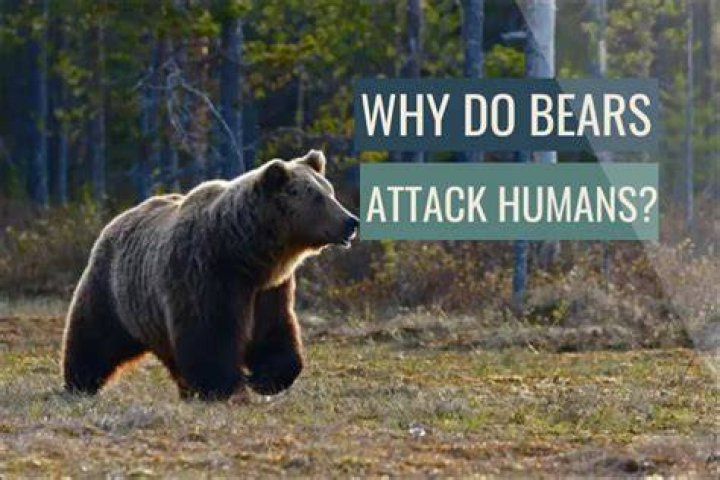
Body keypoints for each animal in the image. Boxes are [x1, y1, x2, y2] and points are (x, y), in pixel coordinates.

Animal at [61, 150, 359, 400]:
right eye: (317, 197)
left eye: (330, 191)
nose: (351, 221)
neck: (246, 253)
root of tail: (117, 219)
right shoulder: (206, 274)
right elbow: (209, 336)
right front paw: (226, 386)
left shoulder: (269, 289)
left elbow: (274, 332)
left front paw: (264, 379)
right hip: (114, 291)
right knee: (94, 336)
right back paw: (80, 382)